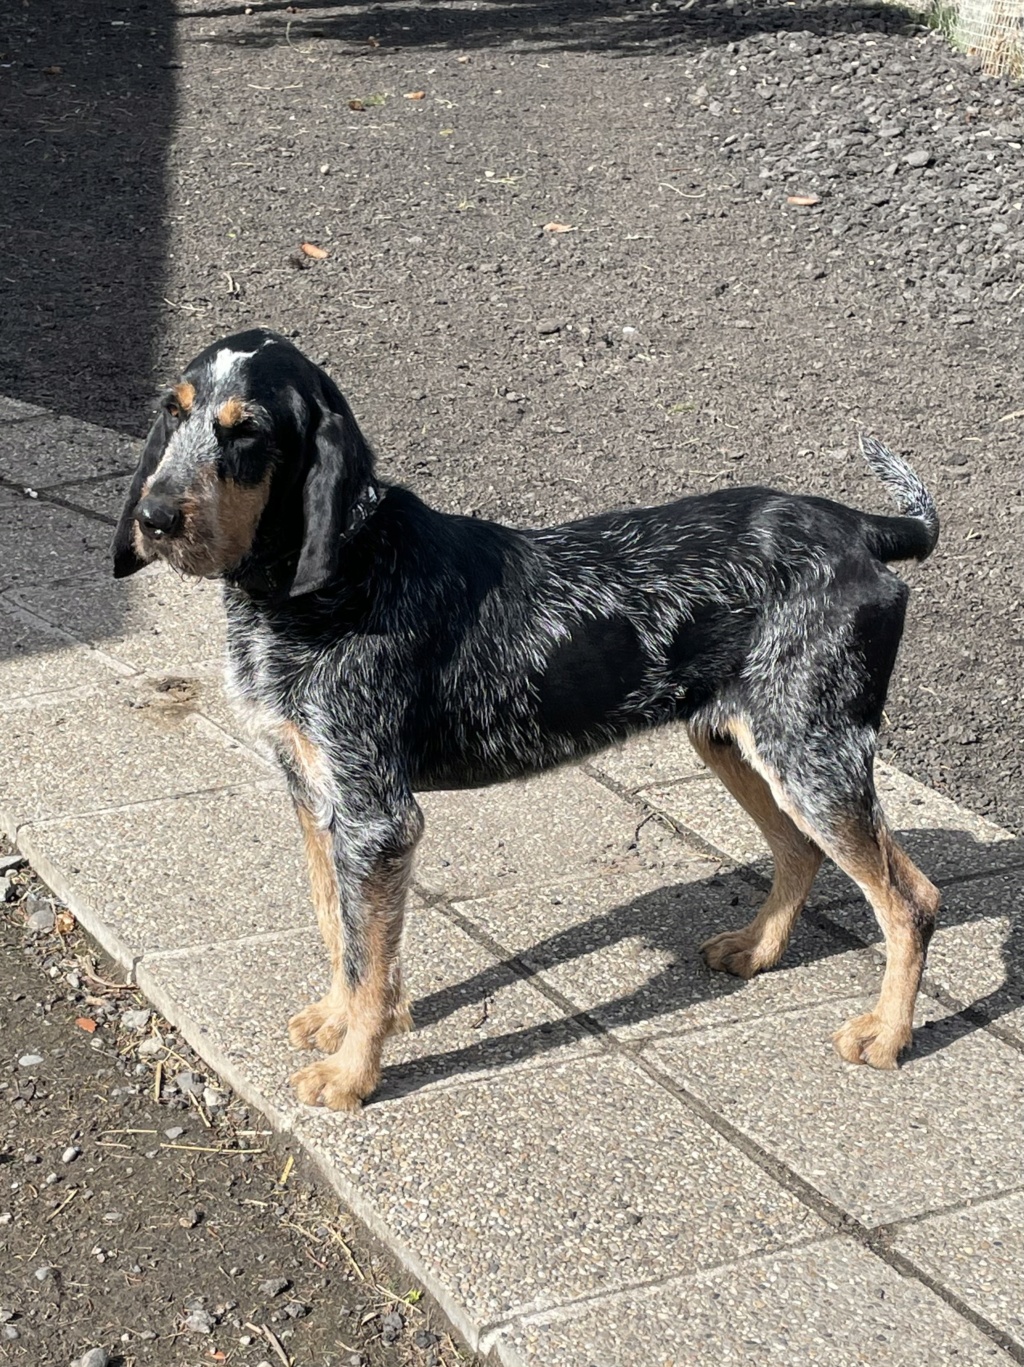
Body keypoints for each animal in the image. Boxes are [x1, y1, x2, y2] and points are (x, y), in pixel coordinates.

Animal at [114, 328, 940, 1110]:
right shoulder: (314, 795)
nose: (154, 517)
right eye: (173, 413)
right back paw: (758, 949)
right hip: (739, 739)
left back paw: (887, 1033)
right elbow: (337, 928)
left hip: (811, 752)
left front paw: (353, 1074)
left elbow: (371, 961)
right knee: (799, 850)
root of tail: (860, 529)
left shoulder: (378, 819)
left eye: (247, 431)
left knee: (912, 901)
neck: (335, 575)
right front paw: (336, 1018)